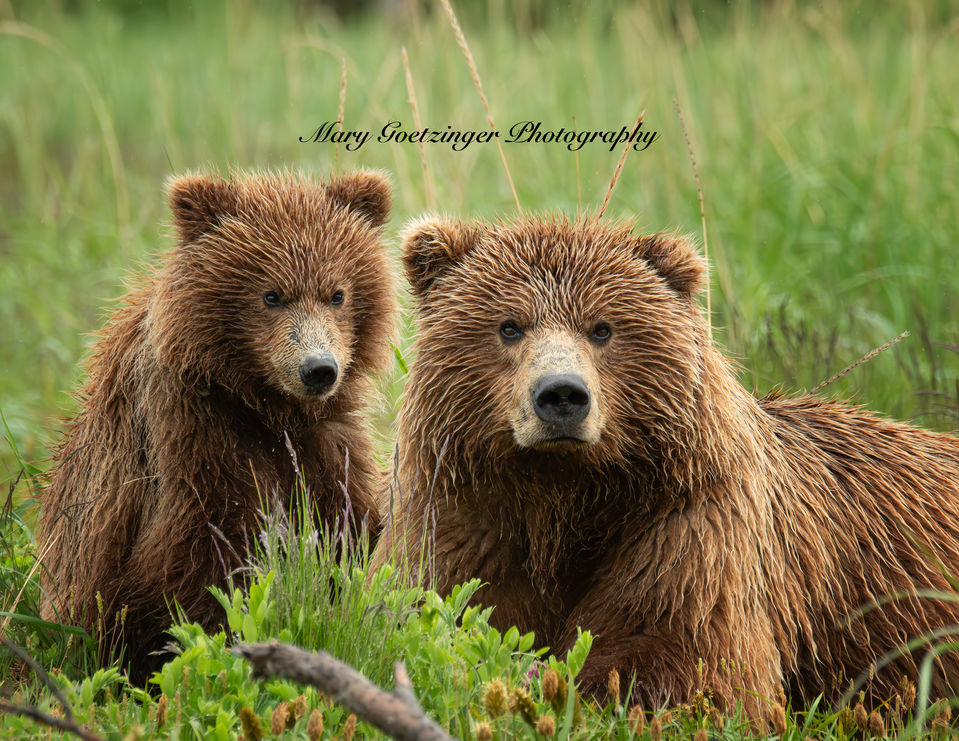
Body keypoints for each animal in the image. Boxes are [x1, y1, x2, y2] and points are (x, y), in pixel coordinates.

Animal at [39, 170, 396, 681]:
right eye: (271, 294)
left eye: (337, 293)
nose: (318, 369)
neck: (265, 406)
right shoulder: (195, 434)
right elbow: (205, 559)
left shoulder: (327, 442)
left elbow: (347, 523)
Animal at [373, 214, 959, 717]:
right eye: (509, 326)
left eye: (602, 328)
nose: (561, 395)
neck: (563, 497)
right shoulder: (468, 516)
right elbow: (434, 607)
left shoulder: (688, 530)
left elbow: (685, 662)